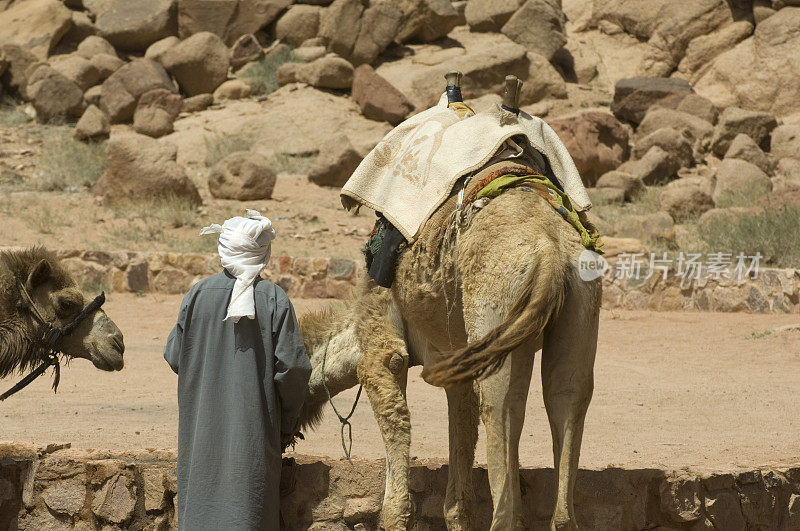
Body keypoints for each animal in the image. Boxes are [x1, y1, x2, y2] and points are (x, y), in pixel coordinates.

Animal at [298, 165, 600, 528]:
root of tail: (551, 249)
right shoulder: (457, 365)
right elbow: (461, 454)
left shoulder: (382, 343)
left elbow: (395, 408)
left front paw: (395, 515)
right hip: (580, 300)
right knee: (565, 397)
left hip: (496, 303)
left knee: (502, 407)